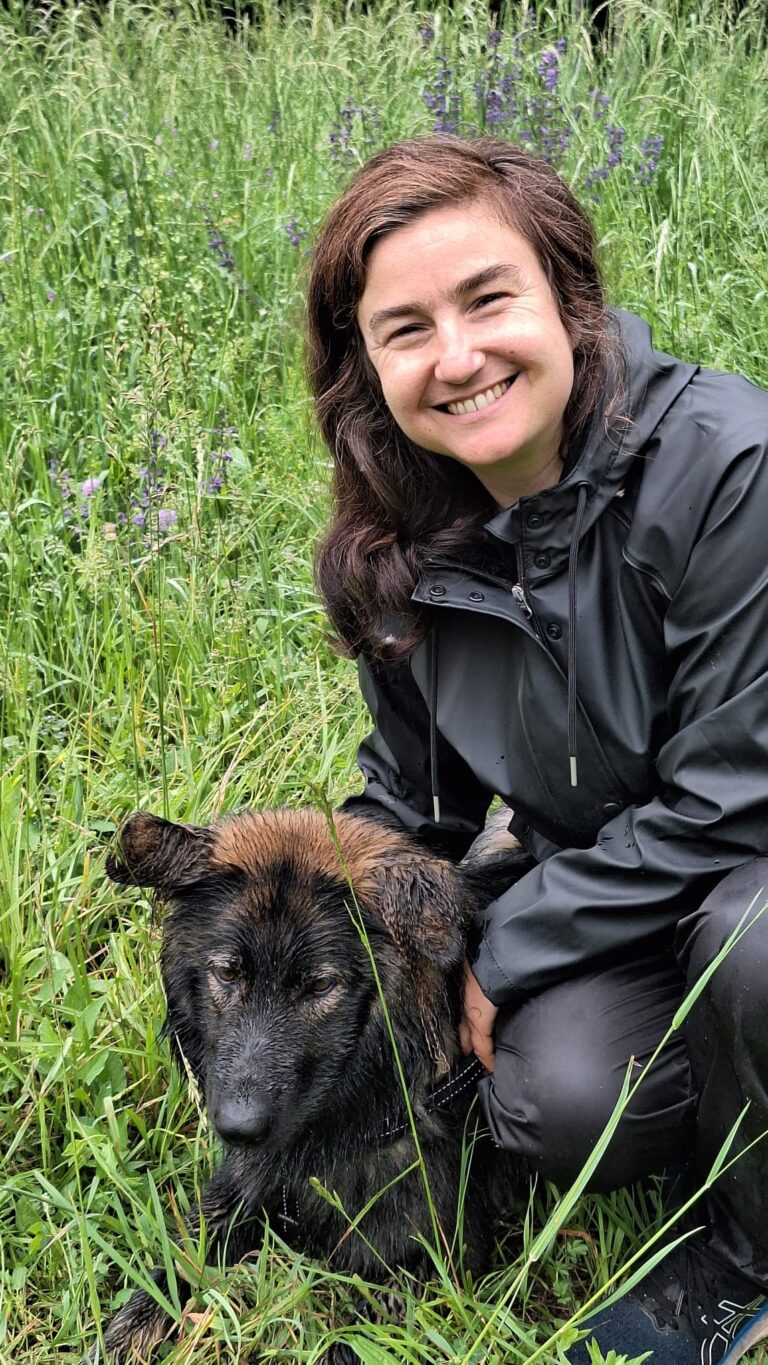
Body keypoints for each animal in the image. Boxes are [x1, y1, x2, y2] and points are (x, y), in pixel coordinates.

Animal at [92, 805, 530, 1362]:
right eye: (227, 973)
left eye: (320, 985)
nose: (238, 1129)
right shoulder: (241, 1193)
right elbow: (173, 1268)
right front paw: (122, 1336)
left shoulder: (422, 1263)